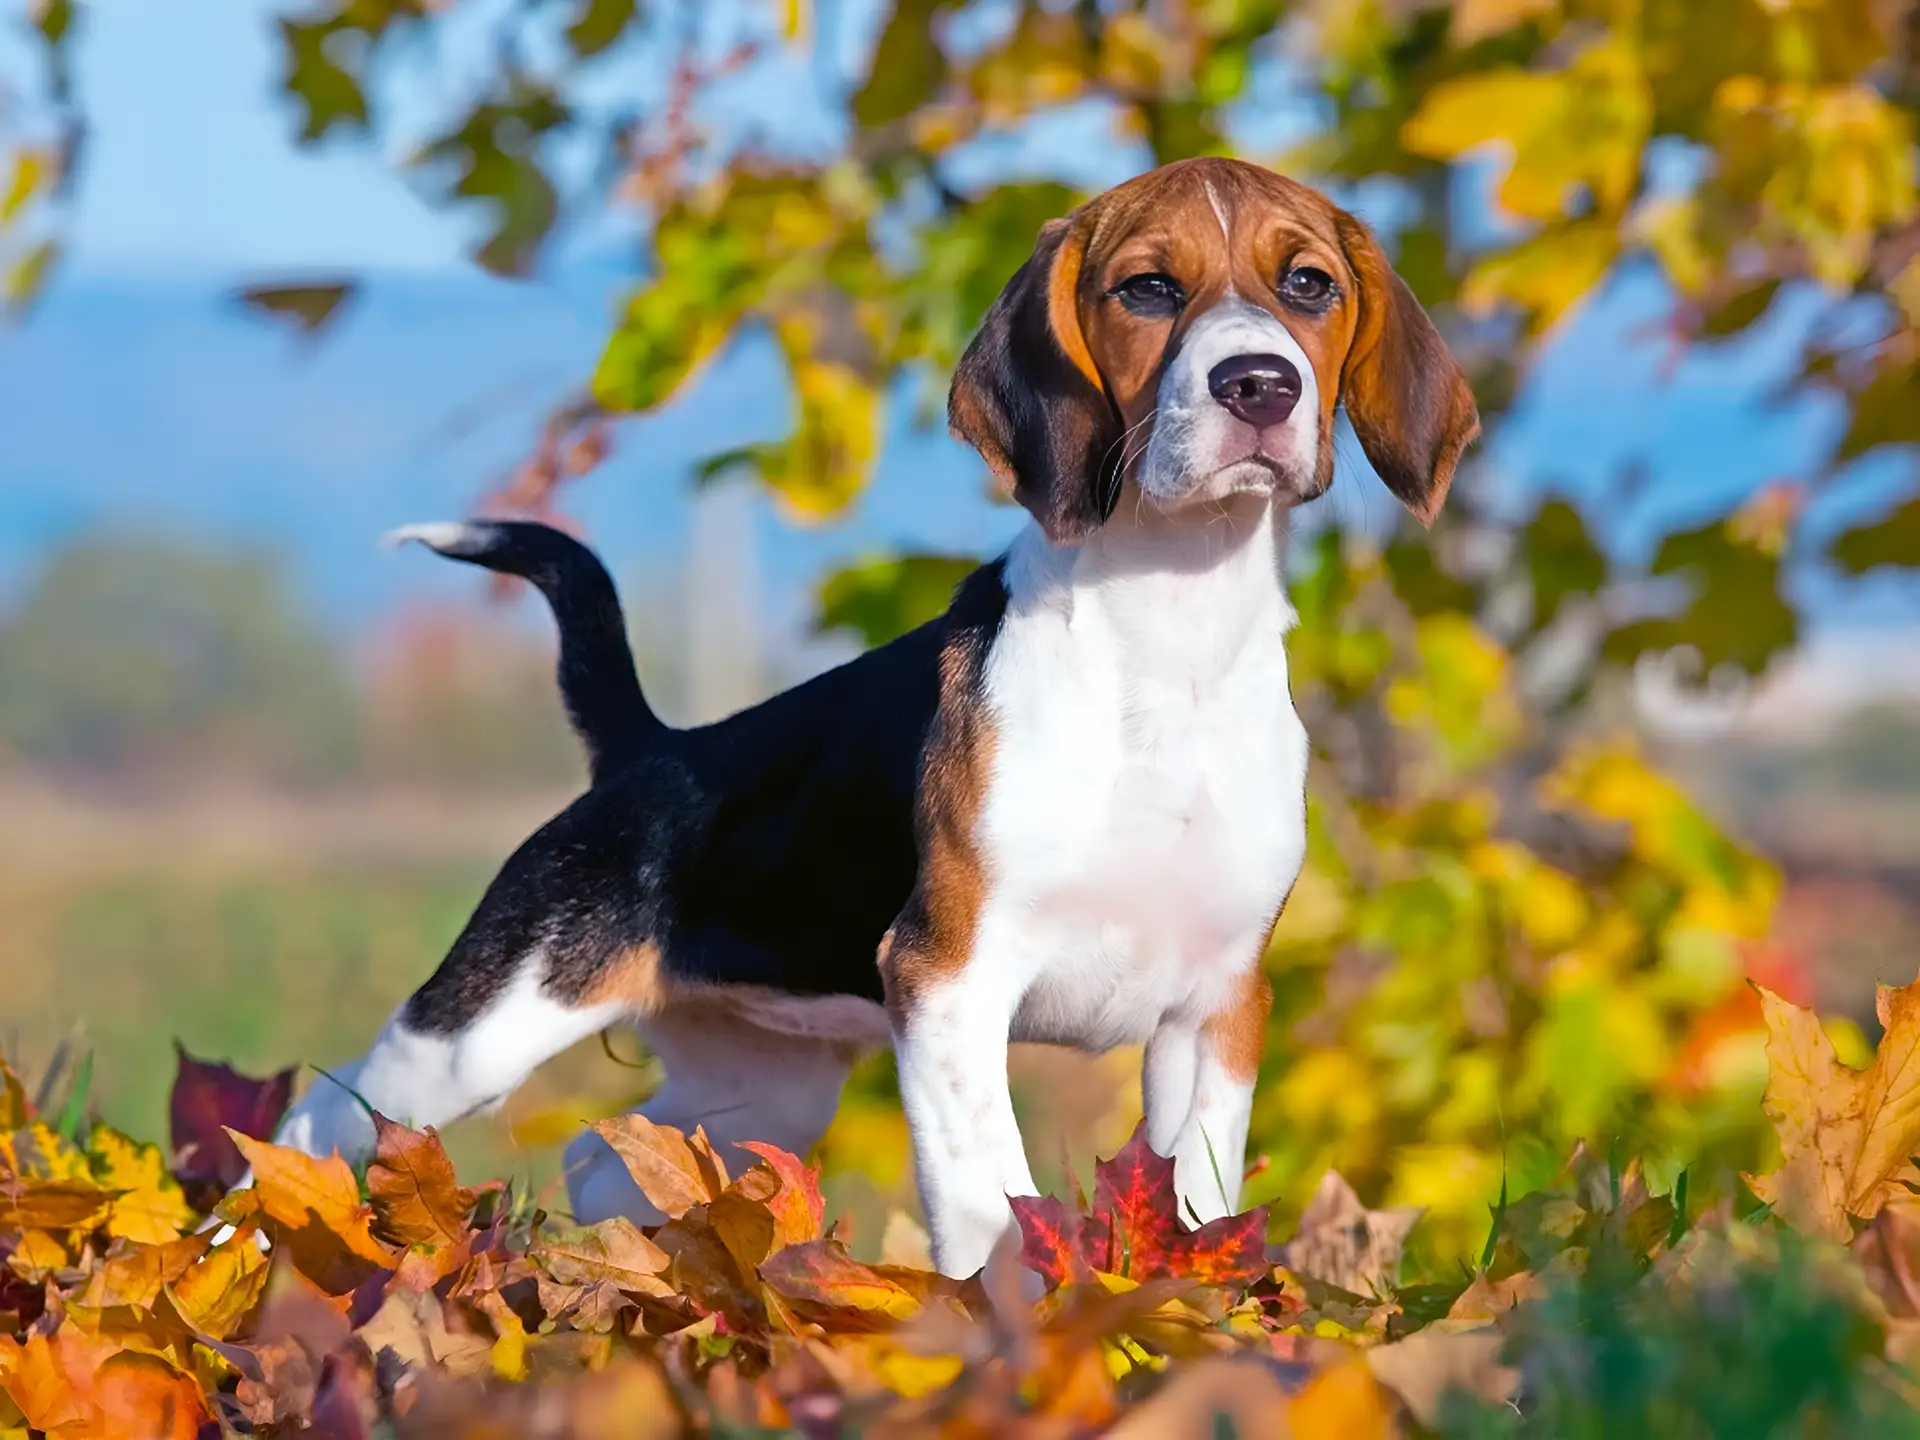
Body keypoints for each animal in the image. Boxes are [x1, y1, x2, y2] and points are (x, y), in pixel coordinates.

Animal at [270, 160, 1474, 1282]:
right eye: (1148, 289)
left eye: (1308, 283)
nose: (1258, 384)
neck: (1167, 630)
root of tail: (651, 748)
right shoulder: (949, 979)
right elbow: (991, 1202)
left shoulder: (1218, 1007)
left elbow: (1198, 1194)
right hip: (473, 1036)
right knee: (318, 1126)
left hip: (760, 1085)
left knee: (606, 1158)